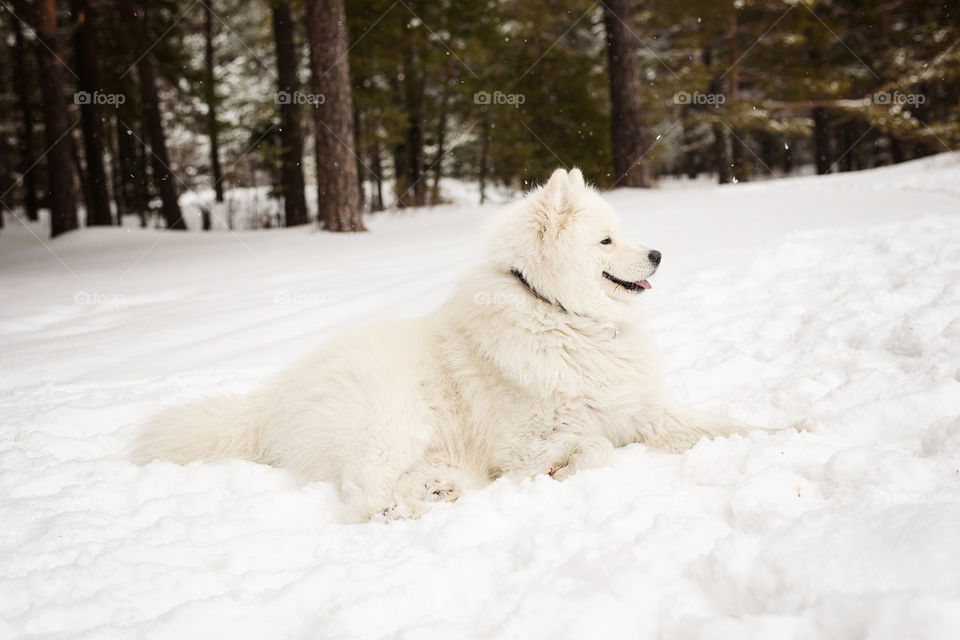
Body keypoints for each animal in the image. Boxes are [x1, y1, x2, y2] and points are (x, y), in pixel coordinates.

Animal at [133, 169, 772, 520]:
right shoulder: (525, 438)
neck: (560, 317)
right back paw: (403, 510)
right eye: (606, 240)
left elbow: (720, 423)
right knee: (361, 493)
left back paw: (438, 489)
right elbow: (592, 448)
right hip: (392, 418)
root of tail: (271, 401)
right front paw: (557, 473)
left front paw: (786, 429)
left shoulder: (642, 409)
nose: (660, 254)